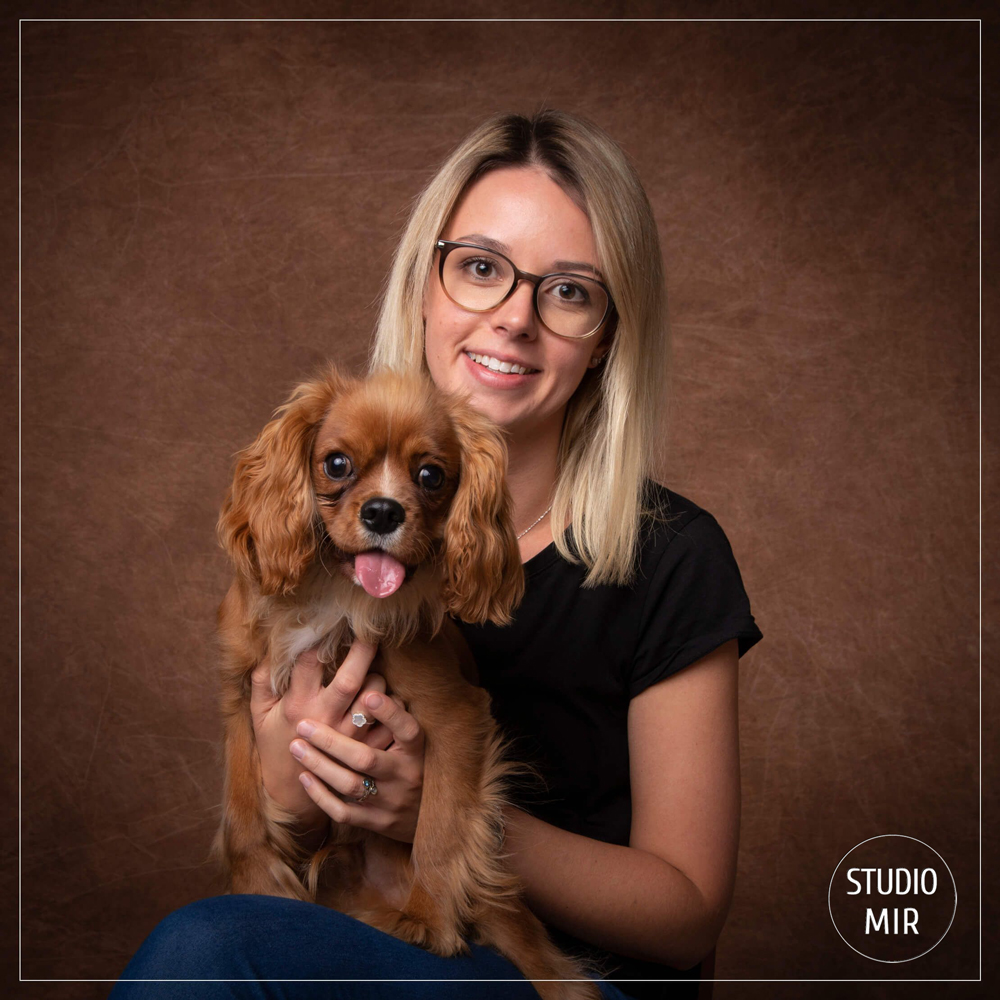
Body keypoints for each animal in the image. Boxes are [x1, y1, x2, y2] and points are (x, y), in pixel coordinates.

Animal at [213, 362, 600, 1000]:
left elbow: (440, 825)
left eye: (430, 476)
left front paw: (430, 918)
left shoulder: (456, 715)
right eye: (336, 464)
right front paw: (255, 885)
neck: (336, 591)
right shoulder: (244, 692)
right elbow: (243, 806)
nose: (383, 511)